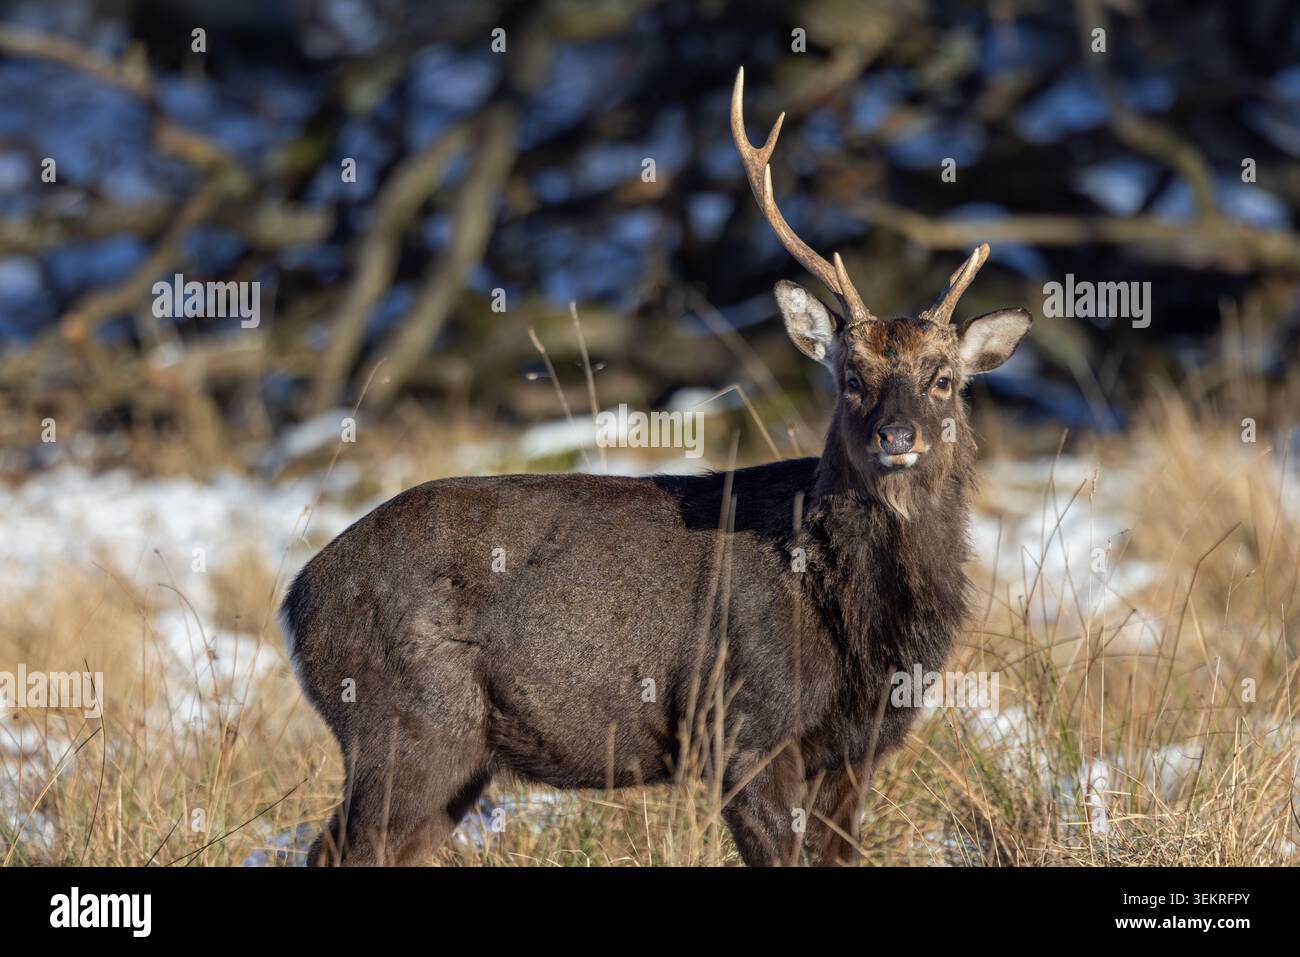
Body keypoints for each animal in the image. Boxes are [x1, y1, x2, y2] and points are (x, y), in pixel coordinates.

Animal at [281, 67, 1032, 867]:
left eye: (943, 379)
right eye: (851, 377)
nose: (898, 434)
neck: (858, 621)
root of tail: (297, 599)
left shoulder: (855, 750)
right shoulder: (742, 726)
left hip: (452, 757)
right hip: (406, 723)